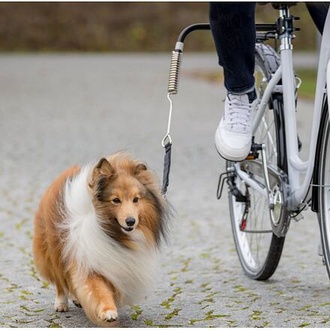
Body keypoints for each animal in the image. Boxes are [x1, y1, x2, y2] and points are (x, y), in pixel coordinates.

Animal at [32, 153, 168, 328]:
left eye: (136, 199)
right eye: (115, 200)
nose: (131, 221)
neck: (111, 232)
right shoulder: (88, 260)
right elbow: (98, 289)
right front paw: (108, 312)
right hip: (53, 249)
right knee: (60, 280)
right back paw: (61, 303)